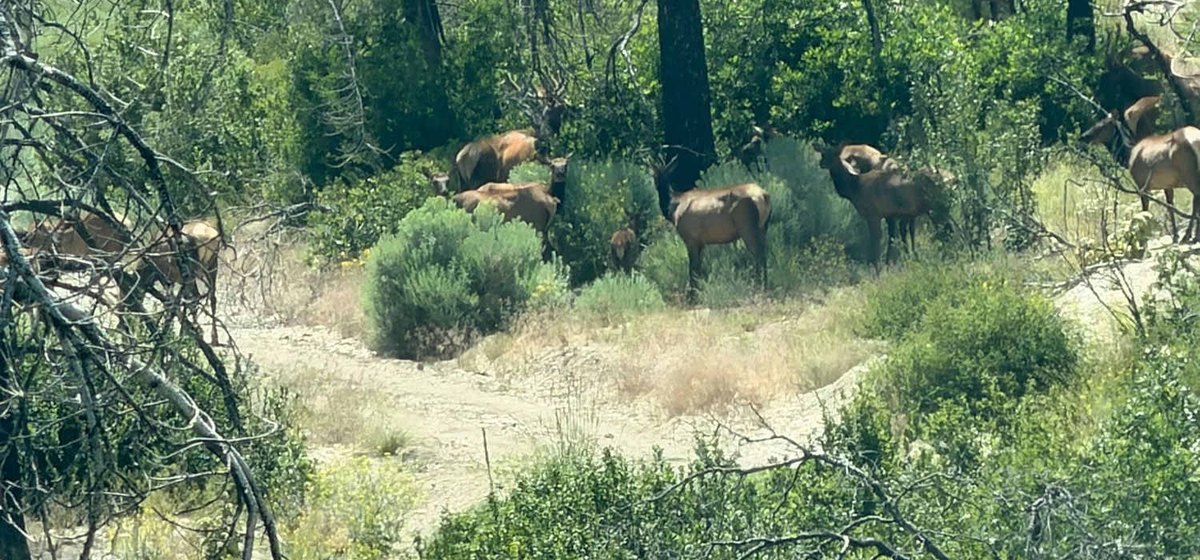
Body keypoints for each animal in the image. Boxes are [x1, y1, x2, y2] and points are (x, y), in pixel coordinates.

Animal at [652, 156, 771, 302]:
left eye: (654, 174)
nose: (656, 184)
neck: (672, 209)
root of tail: (764, 196)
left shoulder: (690, 238)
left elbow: (693, 268)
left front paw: (692, 297)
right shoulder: (701, 242)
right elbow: (699, 268)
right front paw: (698, 293)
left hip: (747, 226)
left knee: (758, 254)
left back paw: (759, 288)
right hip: (763, 227)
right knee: (763, 253)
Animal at [1080, 95, 1200, 242]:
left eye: (1103, 125)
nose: (1083, 136)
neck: (1127, 155)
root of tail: (1195, 140)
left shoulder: (1141, 184)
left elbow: (1145, 210)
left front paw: (1145, 237)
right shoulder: (1167, 185)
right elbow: (1170, 206)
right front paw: (1175, 235)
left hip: (1189, 174)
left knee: (1196, 199)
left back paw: (1189, 235)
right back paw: (1192, 235)